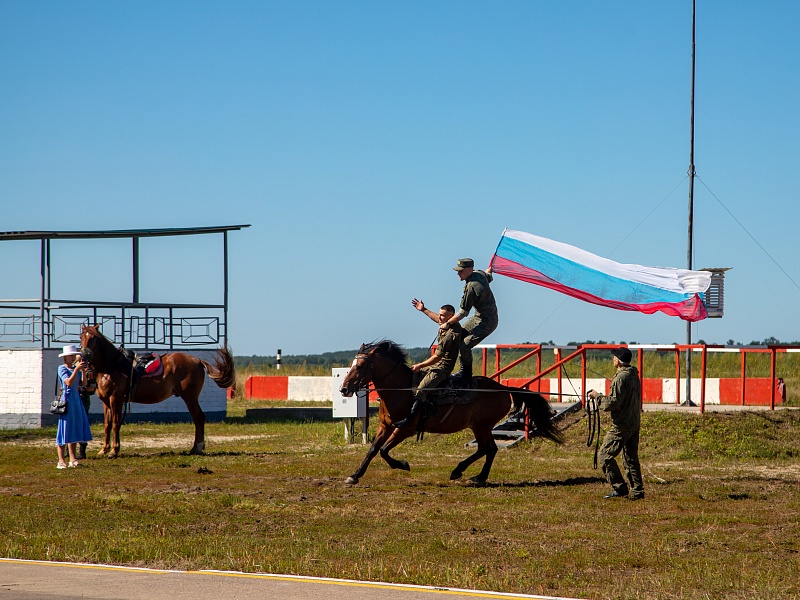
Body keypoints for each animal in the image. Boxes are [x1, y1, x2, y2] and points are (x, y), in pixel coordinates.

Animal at [79, 324, 236, 457]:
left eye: (94, 337)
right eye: (82, 336)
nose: (84, 354)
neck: (111, 366)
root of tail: (197, 360)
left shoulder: (116, 399)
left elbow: (116, 423)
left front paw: (114, 450)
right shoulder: (106, 401)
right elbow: (107, 424)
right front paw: (104, 449)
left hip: (190, 397)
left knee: (199, 418)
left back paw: (196, 447)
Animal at [339, 340, 563, 485]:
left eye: (360, 365)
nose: (343, 389)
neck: (402, 390)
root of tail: (502, 388)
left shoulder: (405, 429)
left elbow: (384, 451)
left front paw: (403, 464)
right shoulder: (385, 426)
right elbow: (373, 449)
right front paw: (355, 475)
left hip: (481, 426)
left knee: (485, 449)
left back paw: (459, 471)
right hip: (483, 427)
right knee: (490, 450)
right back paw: (479, 477)